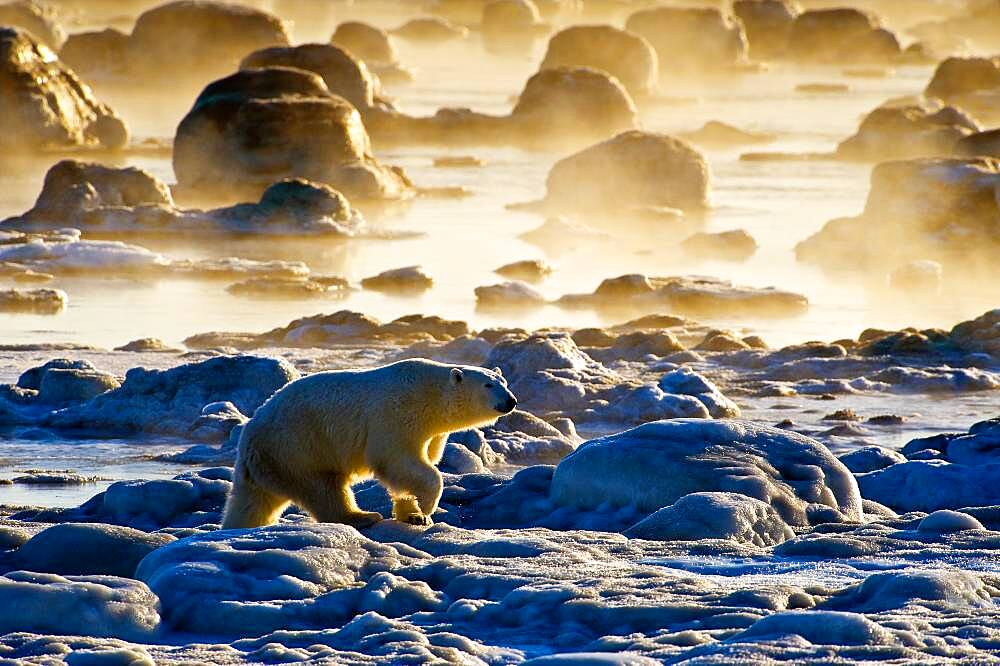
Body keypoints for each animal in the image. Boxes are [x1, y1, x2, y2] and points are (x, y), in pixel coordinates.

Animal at [224, 356, 520, 532]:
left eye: (503, 381)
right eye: (488, 385)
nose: (511, 401)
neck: (430, 394)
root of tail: (249, 436)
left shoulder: (431, 433)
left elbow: (416, 466)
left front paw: (412, 514)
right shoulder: (396, 414)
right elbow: (399, 461)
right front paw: (424, 509)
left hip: (273, 462)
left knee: (251, 503)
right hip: (298, 447)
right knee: (324, 488)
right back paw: (361, 516)